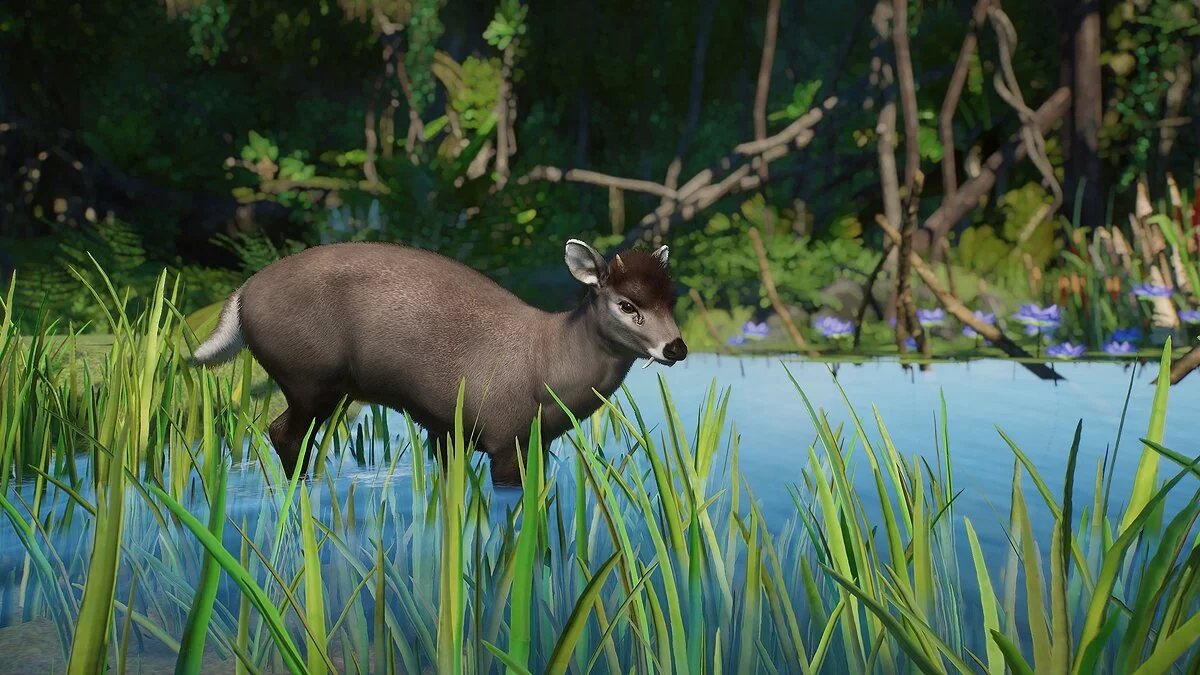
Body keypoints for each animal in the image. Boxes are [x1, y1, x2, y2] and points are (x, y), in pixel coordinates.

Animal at [187, 238, 688, 487]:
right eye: (627, 304)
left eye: (671, 297)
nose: (676, 348)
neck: (548, 365)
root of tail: (241, 294)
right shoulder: (504, 434)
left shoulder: (468, 431)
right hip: (309, 378)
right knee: (283, 433)